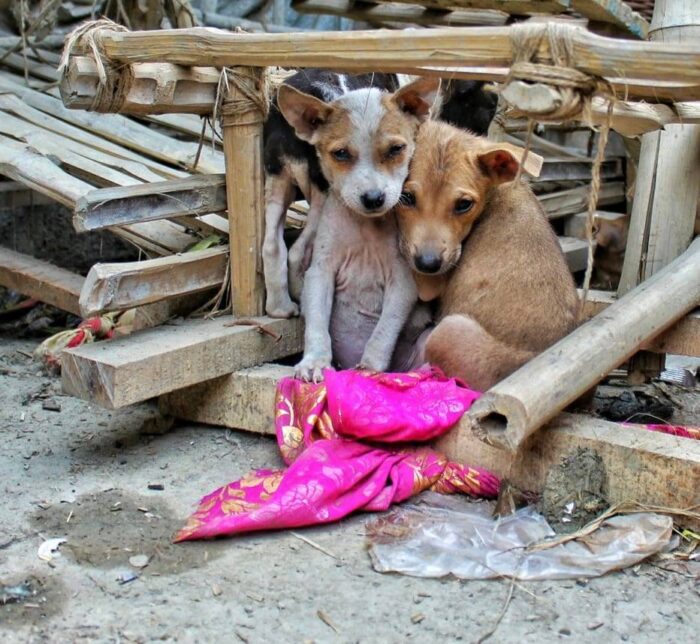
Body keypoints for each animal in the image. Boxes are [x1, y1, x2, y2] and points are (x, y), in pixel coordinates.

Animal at [276, 79, 440, 382]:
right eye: (341, 153)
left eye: (396, 149)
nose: (373, 198)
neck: (365, 227)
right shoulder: (320, 273)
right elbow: (316, 325)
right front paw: (315, 362)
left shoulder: (402, 284)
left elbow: (382, 333)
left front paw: (370, 368)